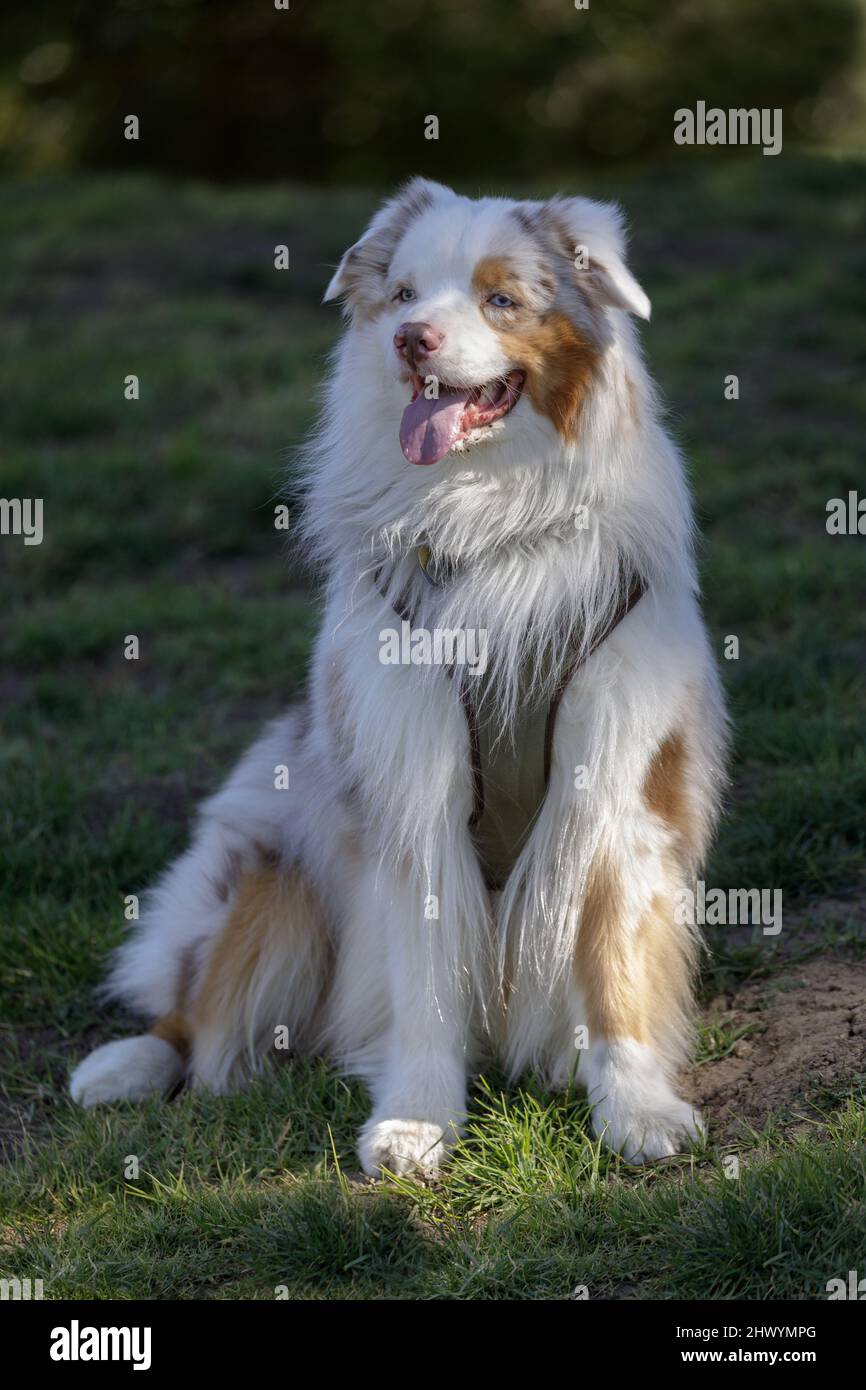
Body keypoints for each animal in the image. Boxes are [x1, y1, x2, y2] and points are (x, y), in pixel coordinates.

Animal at [72, 176, 722, 1173]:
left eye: (501, 299)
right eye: (406, 294)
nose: (410, 340)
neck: (491, 514)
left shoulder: (618, 779)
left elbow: (615, 962)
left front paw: (636, 1108)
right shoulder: (411, 781)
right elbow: (425, 977)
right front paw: (417, 1117)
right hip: (274, 868)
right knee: (198, 1009)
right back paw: (127, 1066)